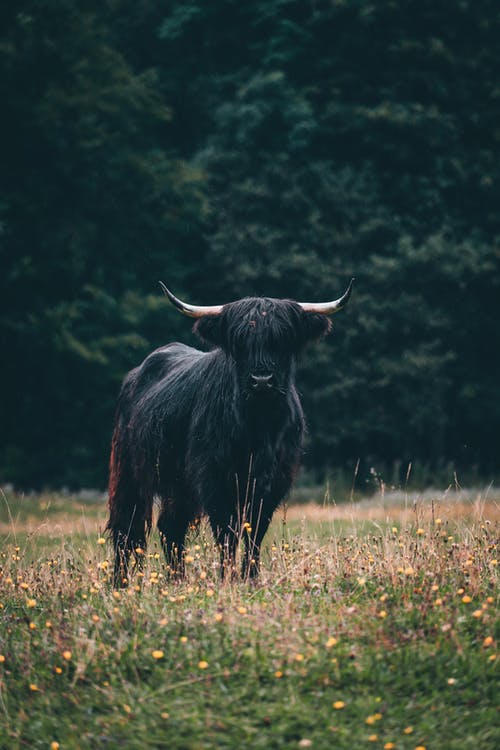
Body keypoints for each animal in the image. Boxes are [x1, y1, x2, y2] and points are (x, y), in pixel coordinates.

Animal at [107, 280, 354, 584]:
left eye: (283, 339)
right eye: (239, 342)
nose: (262, 380)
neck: (258, 429)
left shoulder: (272, 483)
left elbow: (255, 532)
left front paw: (251, 578)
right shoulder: (215, 480)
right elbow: (227, 532)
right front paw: (227, 578)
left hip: (179, 483)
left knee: (170, 527)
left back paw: (177, 580)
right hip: (129, 471)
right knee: (127, 529)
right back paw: (121, 583)